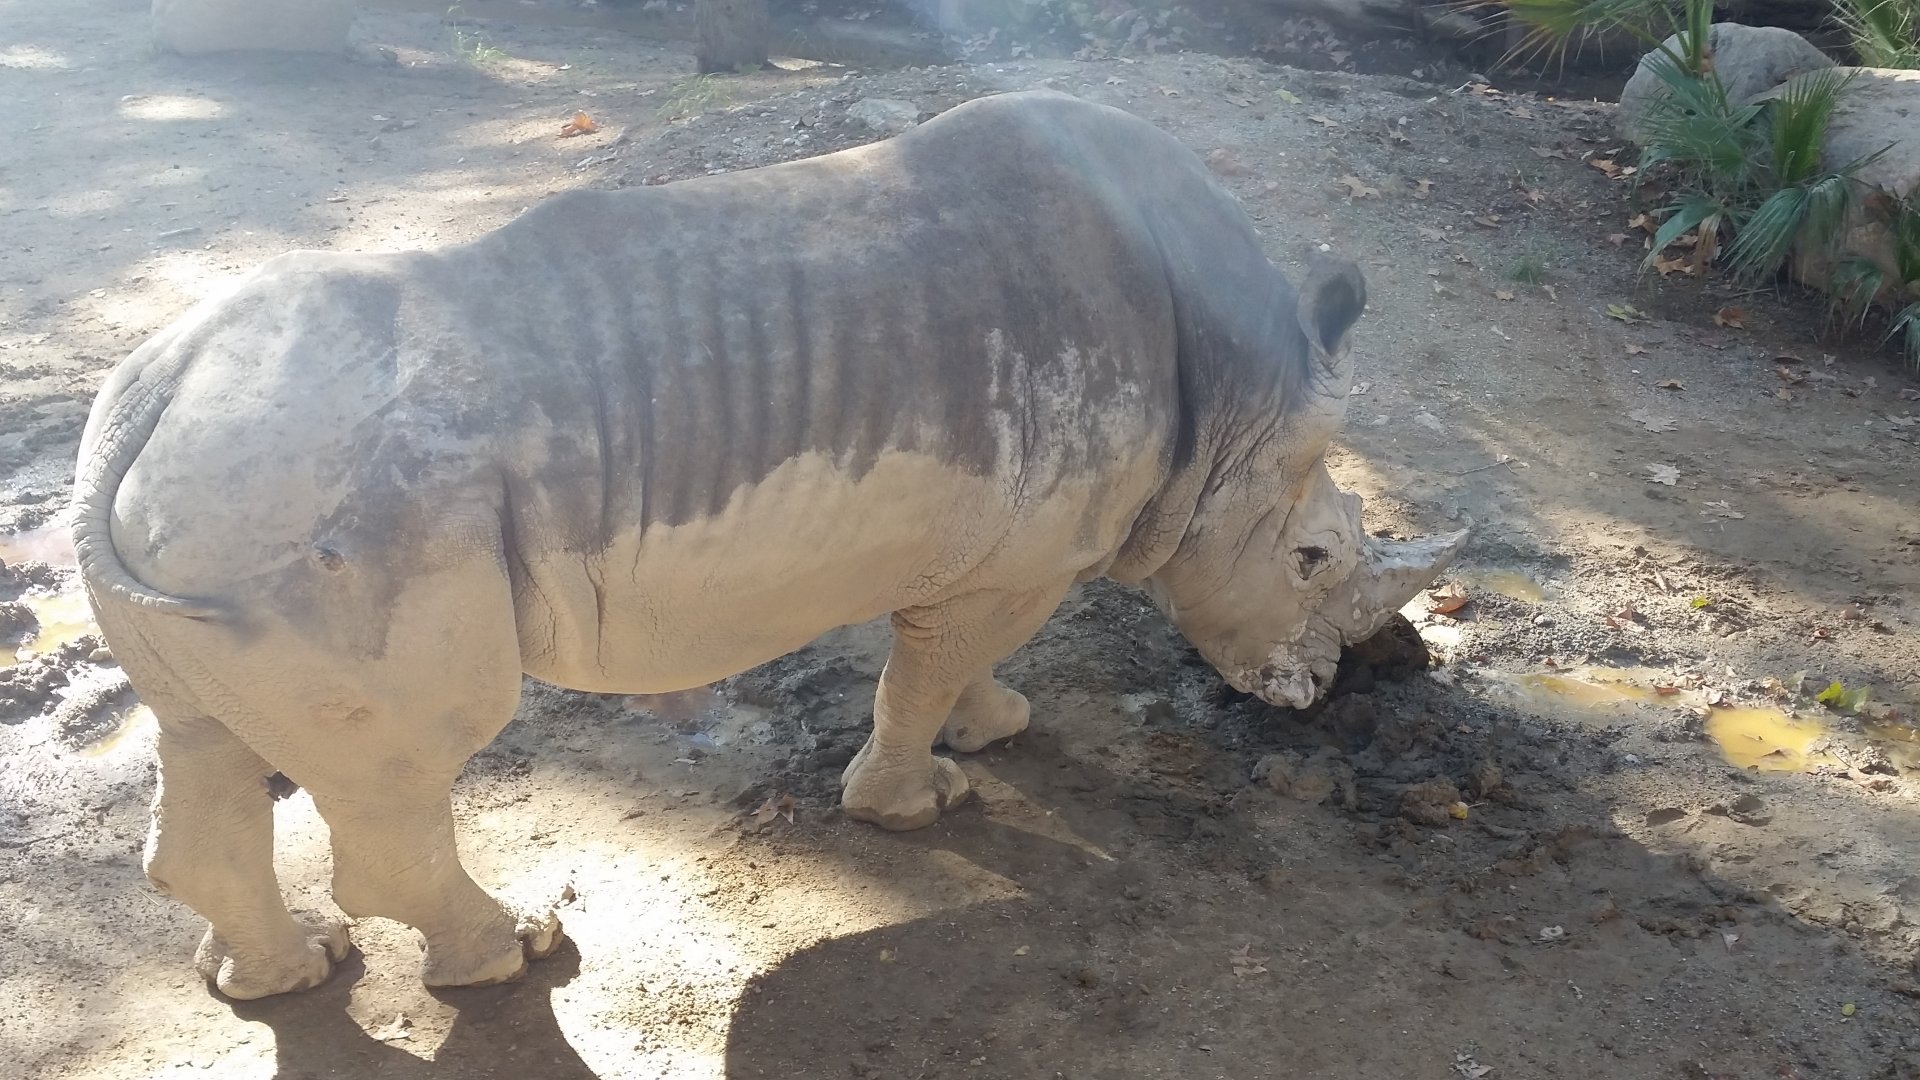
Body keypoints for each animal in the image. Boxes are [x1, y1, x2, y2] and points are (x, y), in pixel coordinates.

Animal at [71, 90, 1465, 1000]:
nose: (1322, 690)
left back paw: (284, 974)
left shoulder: (1003, 552)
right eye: (1314, 564)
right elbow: (922, 674)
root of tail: (140, 408)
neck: (1236, 404)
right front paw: (919, 802)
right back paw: (510, 957)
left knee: (209, 738)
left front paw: (997, 728)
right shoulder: (1015, 557)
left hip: (222, 509)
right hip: (319, 506)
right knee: (405, 768)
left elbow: (965, 661)